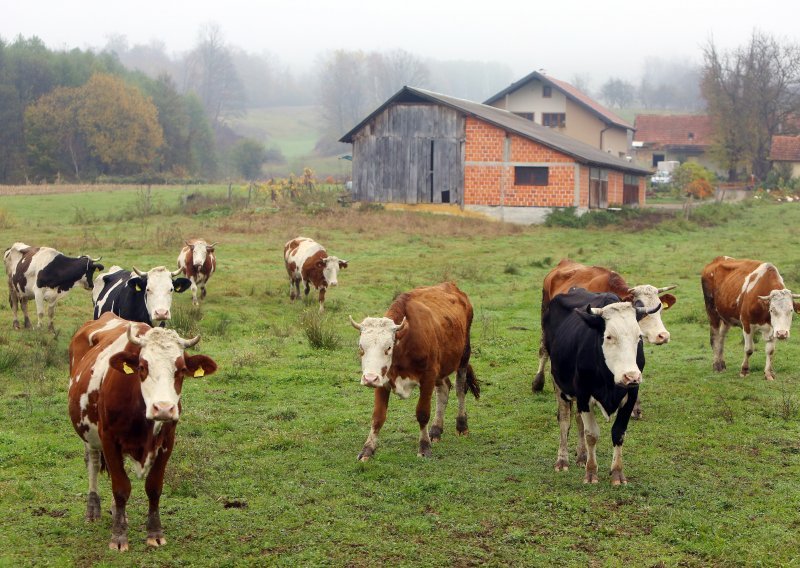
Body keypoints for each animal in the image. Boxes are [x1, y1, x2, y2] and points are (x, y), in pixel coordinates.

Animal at [67, 312, 217, 552]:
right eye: (143, 367)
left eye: (181, 369)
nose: (163, 408)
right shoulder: (109, 439)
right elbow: (121, 487)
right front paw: (119, 537)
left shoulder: (167, 442)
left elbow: (153, 487)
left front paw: (155, 533)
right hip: (89, 434)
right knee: (93, 463)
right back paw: (93, 510)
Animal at [346, 280, 478, 462]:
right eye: (361, 347)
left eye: (388, 347)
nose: (370, 379)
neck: (405, 341)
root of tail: (452, 286)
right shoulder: (383, 380)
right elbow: (378, 417)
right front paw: (367, 449)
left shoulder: (428, 376)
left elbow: (422, 413)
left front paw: (424, 447)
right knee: (444, 389)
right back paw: (436, 430)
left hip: (464, 356)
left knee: (460, 389)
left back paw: (461, 425)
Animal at [540, 288, 660, 484]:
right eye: (609, 336)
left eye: (639, 337)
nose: (631, 376)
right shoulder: (584, 394)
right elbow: (591, 435)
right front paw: (591, 472)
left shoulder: (630, 396)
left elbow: (618, 433)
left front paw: (617, 473)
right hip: (559, 384)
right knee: (565, 420)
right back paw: (563, 460)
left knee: (578, 421)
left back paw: (581, 456)